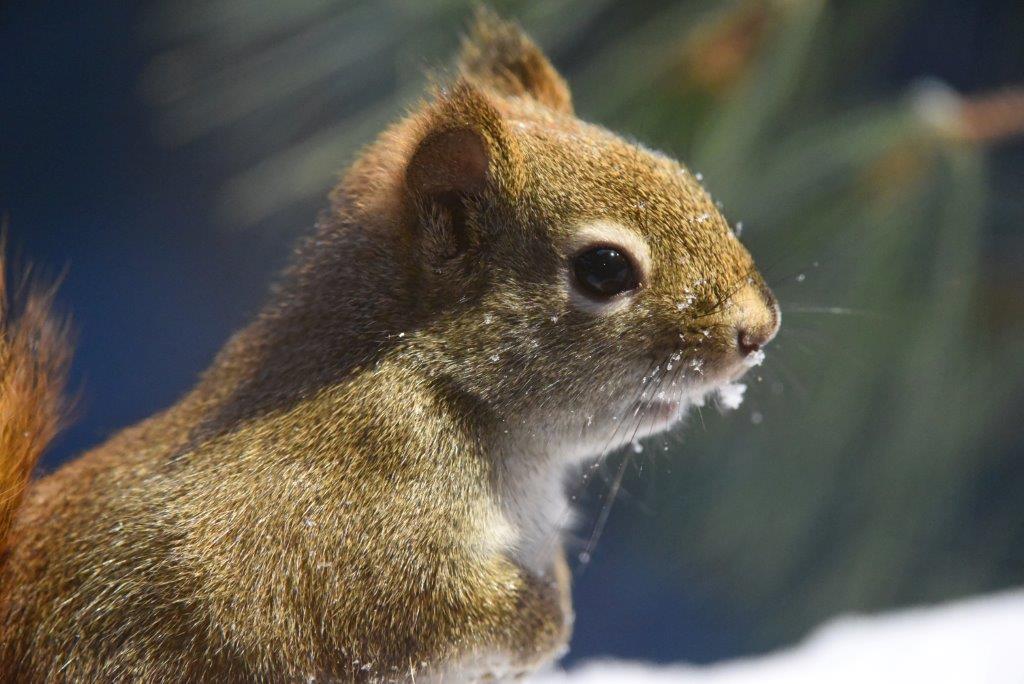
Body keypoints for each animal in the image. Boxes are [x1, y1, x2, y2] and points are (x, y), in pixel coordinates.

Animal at [0, 11, 779, 682]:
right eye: (606, 269)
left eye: (680, 173)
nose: (760, 330)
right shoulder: (339, 538)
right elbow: (417, 614)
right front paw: (544, 619)